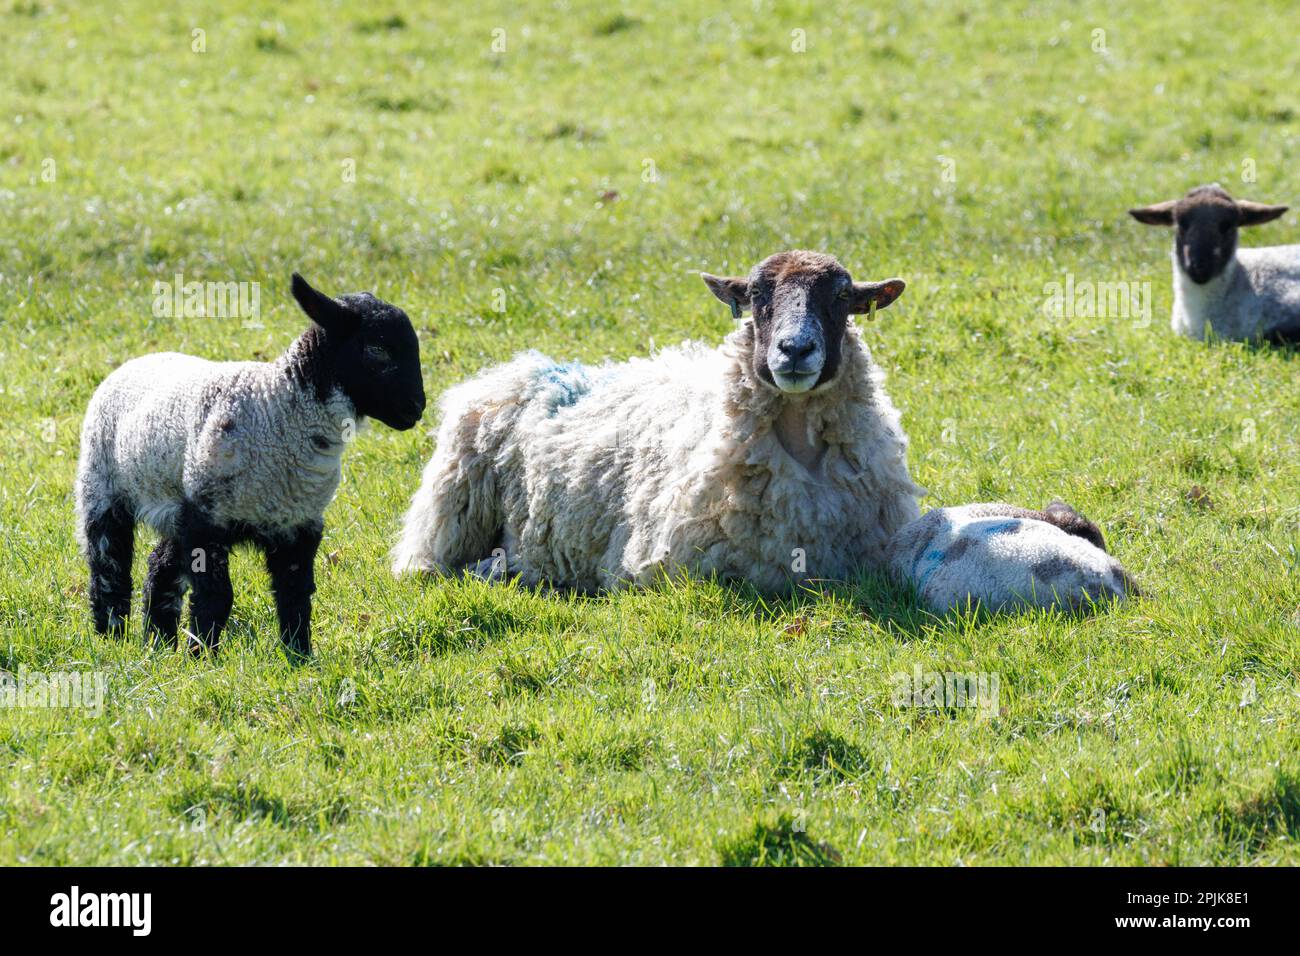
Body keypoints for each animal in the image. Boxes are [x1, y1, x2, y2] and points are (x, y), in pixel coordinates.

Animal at [76, 270, 426, 658]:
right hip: (102, 486)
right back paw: (111, 636)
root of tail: (136, 361)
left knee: (159, 567)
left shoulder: (298, 523)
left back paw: (159, 643)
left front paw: (299, 657)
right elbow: (217, 597)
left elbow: (295, 595)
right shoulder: (208, 519)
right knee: (109, 567)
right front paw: (203, 658)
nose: (417, 407)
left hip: (177, 504)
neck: (279, 409)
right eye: (377, 349)